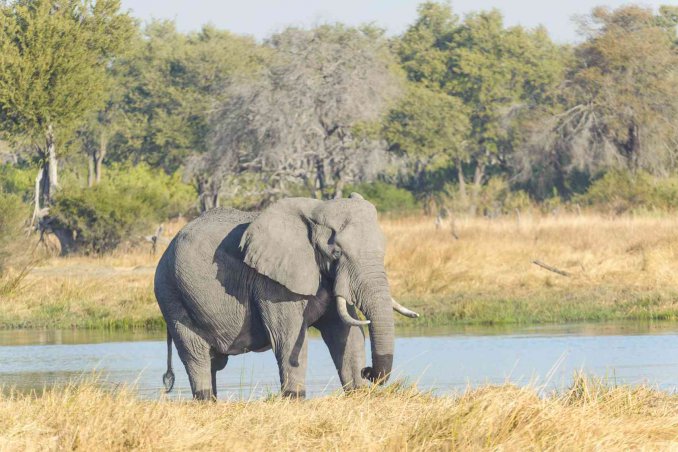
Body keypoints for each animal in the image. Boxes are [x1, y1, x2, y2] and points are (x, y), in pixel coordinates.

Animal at [154, 193, 419, 400]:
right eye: (336, 253)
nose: (368, 371)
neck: (315, 212)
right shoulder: (271, 282)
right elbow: (288, 336)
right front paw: (295, 397)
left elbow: (346, 333)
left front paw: (358, 392)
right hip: (171, 294)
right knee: (195, 355)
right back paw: (205, 398)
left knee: (212, 363)